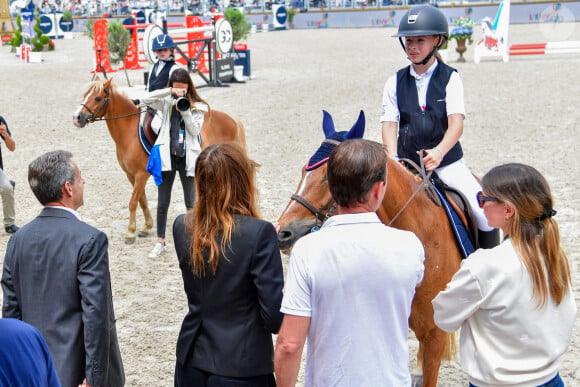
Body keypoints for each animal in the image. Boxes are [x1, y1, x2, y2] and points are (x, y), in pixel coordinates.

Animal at [72, 77, 247, 244]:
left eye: (98, 98)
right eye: (85, 95)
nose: (77, 117)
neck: (129, 132)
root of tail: (231, 119)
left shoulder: (141, 174)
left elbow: (133, 202)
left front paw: (130, 233)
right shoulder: (131, 175)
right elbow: (142, 201)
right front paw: (146, 227)